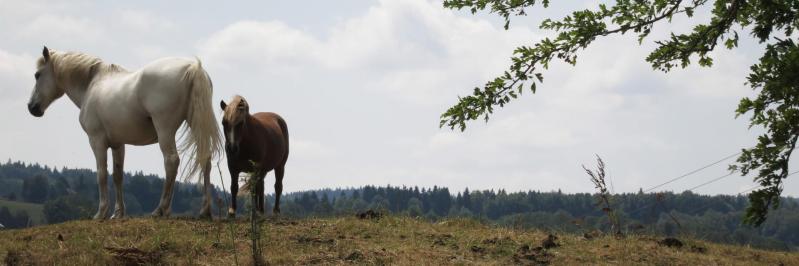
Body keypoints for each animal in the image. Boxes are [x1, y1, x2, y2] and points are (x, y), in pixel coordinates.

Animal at [27, 46, 222, 219]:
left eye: (37, 75)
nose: (31, 107)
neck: (92, 84)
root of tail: (193, 67)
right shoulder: (118, 144)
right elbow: (117, 175)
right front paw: (118, 213)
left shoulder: (97, 141)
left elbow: (101, 174)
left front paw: (101, 213)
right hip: (195, 126)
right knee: (205, 160)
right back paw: (204, 211)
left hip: (165, 130)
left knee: (171, 161)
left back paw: (161, 209)